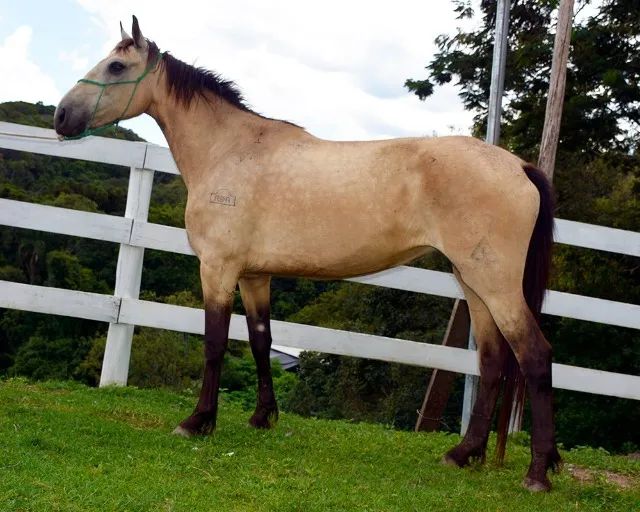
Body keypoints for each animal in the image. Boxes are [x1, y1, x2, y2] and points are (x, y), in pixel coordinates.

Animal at [53, 17, 560, 492]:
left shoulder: (217, 269)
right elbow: (260, 340)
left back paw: (538, 472)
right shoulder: (254, 275)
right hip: (472, 283)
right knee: (492, 362)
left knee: (534, 355)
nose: (61, 117)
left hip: (495, 284)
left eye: (116, 67)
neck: (230, 151)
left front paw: (198, 422)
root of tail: (518, 166)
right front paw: (262, 417)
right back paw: (462, 453)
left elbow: (215, 342)